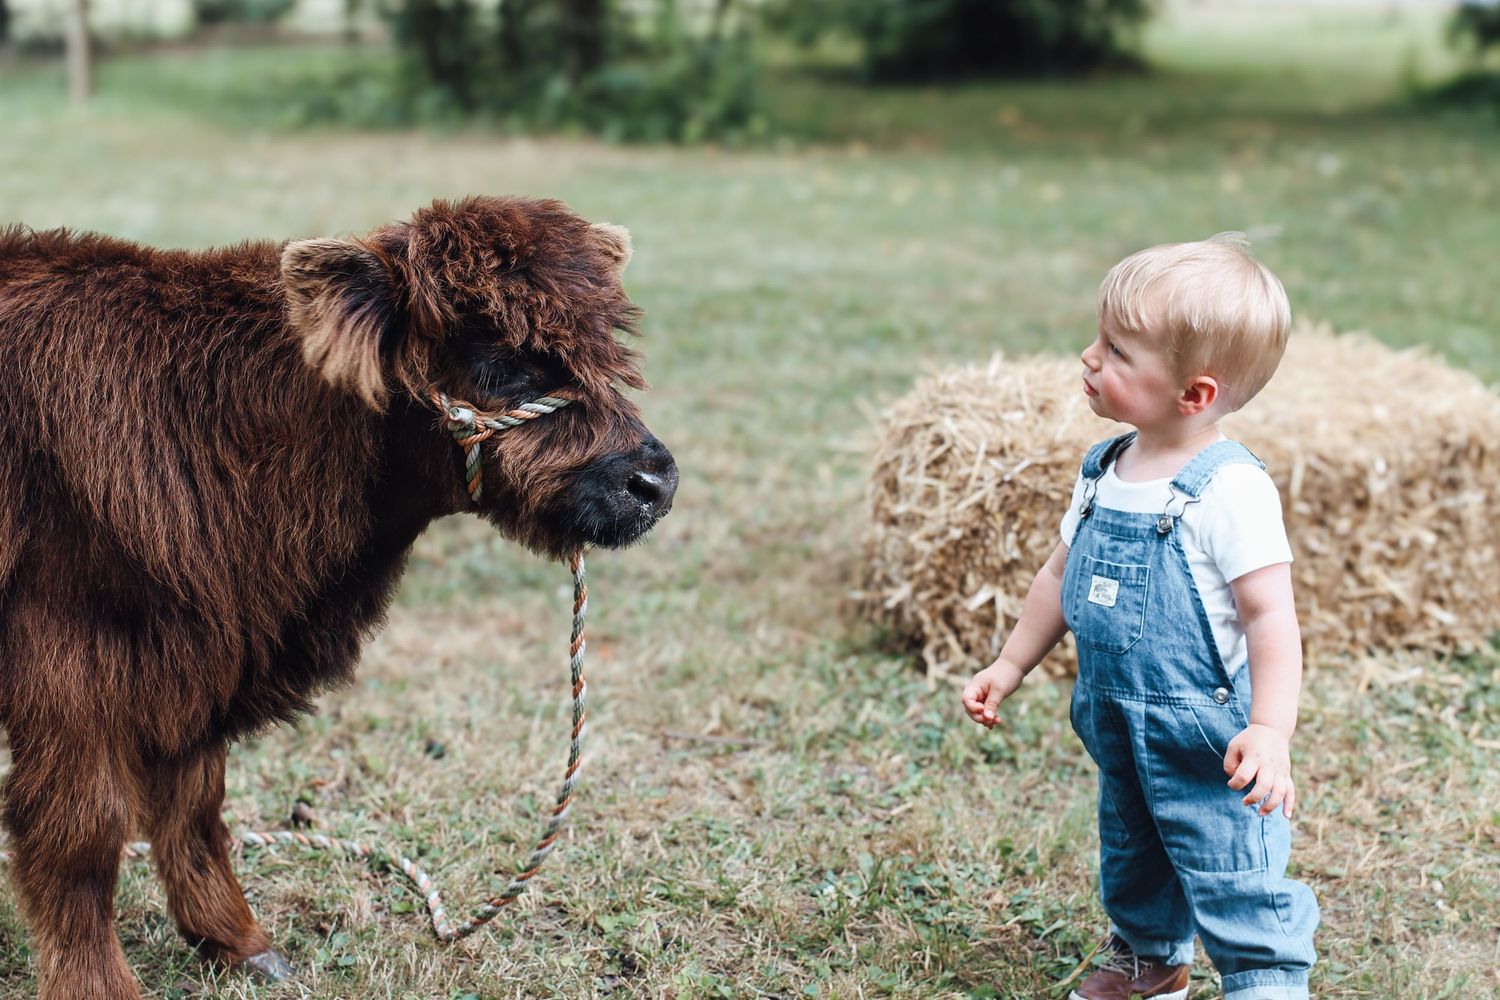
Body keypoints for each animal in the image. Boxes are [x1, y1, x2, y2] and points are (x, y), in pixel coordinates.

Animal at [0, 196, 678, 999]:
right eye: (499, 359)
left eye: (608, 349)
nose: (654, 481)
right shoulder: (72, 669)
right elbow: (83, 835)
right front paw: (98, 983)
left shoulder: (197, 663)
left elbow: (194, 805)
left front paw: (238, 941)